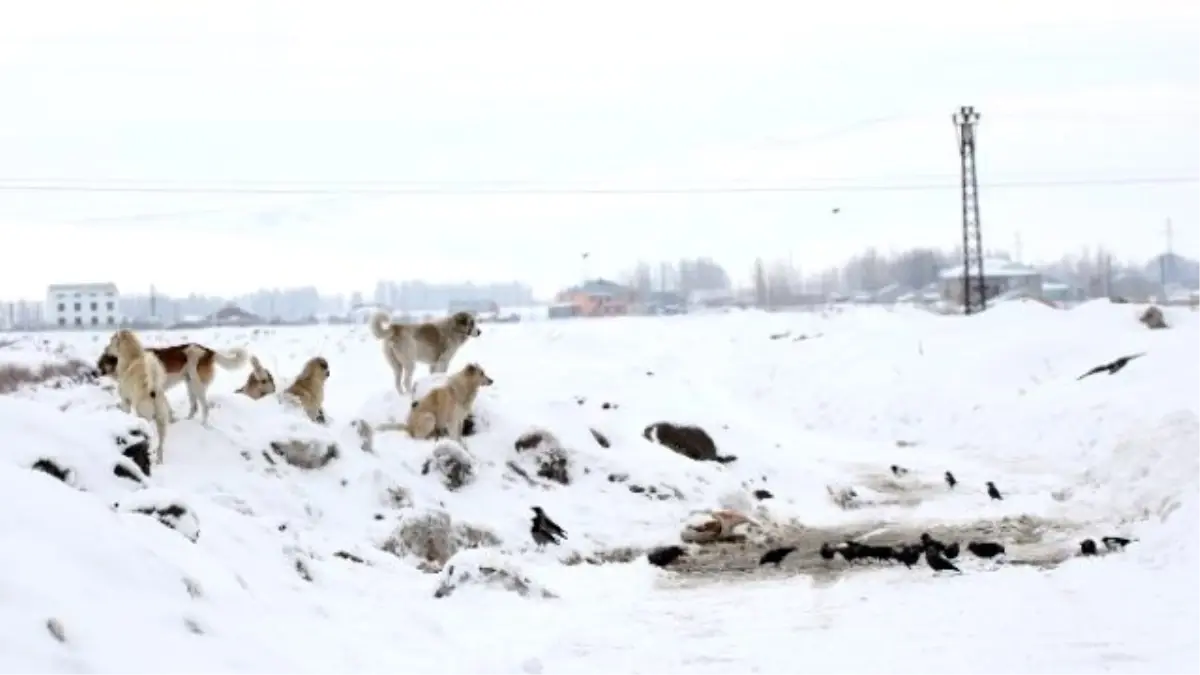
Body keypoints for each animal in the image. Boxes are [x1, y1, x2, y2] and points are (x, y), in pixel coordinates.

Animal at [106, 329, 172, 466]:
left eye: (112, 340)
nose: (106, 349)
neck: (132, 357)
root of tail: (154, 391)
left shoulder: (125, 401)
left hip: (144, 416)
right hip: (162, 422)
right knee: (160, 446)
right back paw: (159, 461)